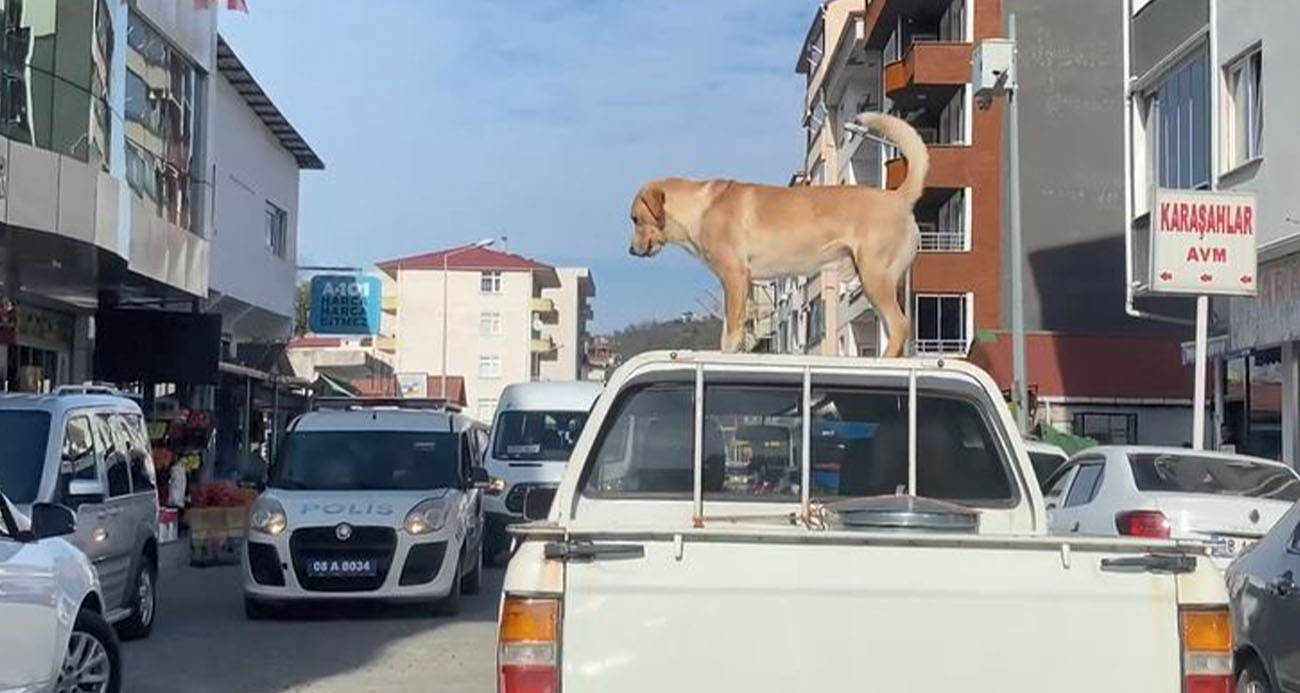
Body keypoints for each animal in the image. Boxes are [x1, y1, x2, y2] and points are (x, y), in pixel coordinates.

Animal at [626, 111, 925, 356]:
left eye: (635, 219)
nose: (631, 250)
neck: (701, 207)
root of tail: (898, 197)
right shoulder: (738, 283)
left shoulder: (734, 276)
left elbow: (730, 331)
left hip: (876, 275)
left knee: (900, 325)